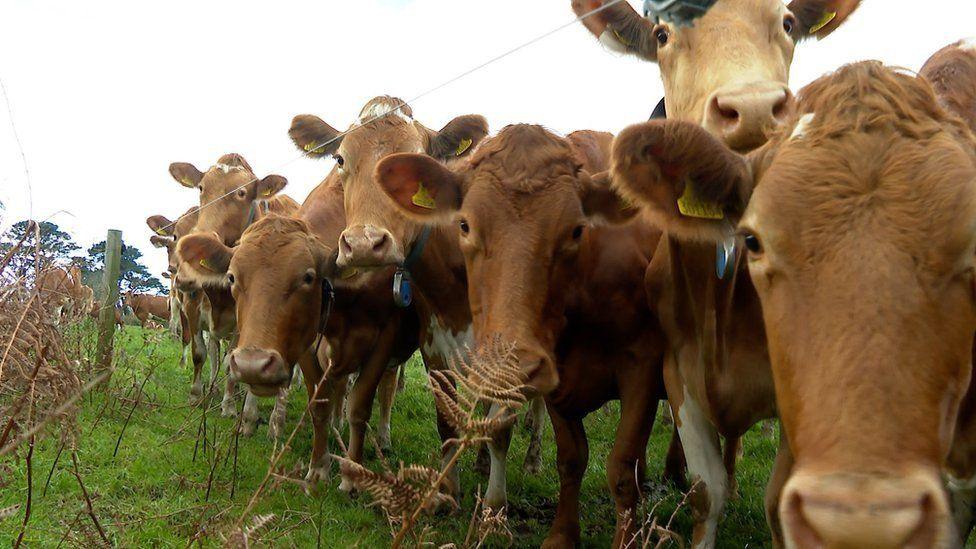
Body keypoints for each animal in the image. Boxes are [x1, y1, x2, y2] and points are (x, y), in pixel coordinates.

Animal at [374, 126, 688, 544]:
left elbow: (623, 469)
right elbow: (571, 459)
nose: (509, 365)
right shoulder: (555, 375)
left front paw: (627, 539)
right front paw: (561, 537)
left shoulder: (643, 369)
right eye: (464, 225)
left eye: (576, 229)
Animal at [576, 0, 864, 540]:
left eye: (787, 23)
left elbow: (778, 502)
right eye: (663, 35)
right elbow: (704, 492)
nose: (753, 109)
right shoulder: (678, 372)